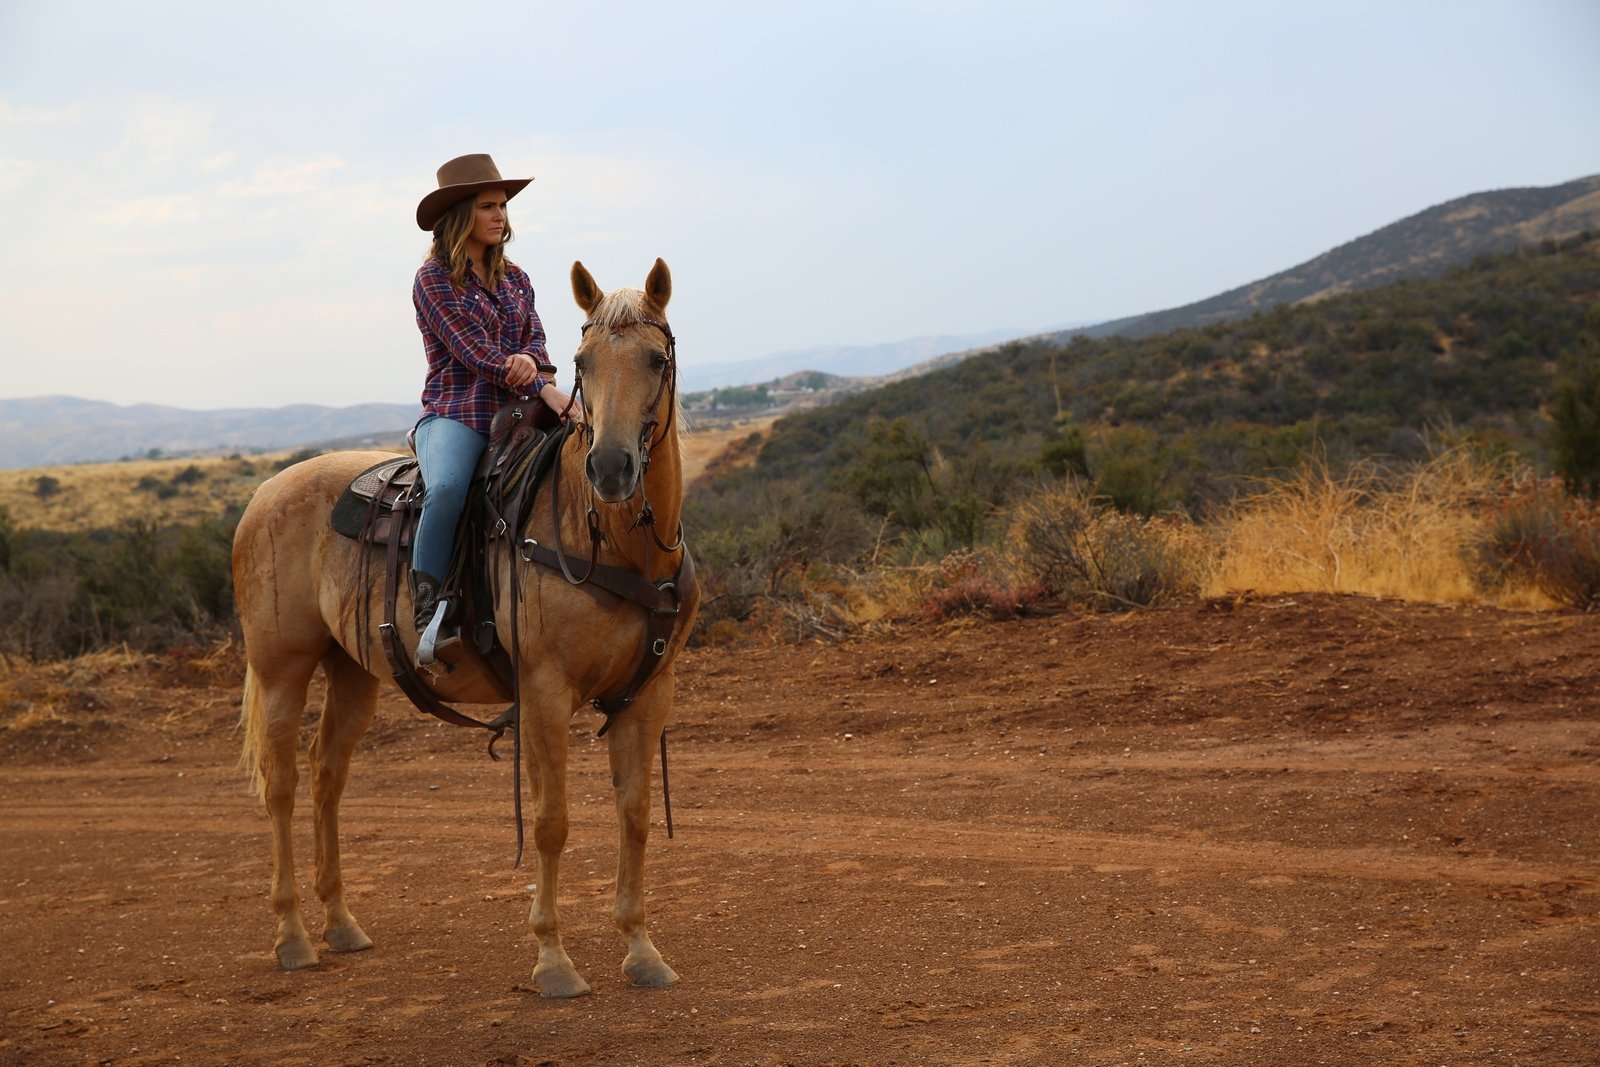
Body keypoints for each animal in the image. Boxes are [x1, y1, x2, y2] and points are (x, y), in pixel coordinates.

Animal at [233, 260, 697, 1004]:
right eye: (582, 363)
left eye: (656, 359)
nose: (611, 468)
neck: (613, 544)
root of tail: (263, 495)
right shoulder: (544, 693)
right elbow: (551, 821)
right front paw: (553, 960)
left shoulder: (649, 694)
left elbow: (635, 816)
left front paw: (641, 950)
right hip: (282, 666)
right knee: (281, 784)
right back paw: (294, 936)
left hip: (352, 672)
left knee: (327, 775)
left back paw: (341, 924)